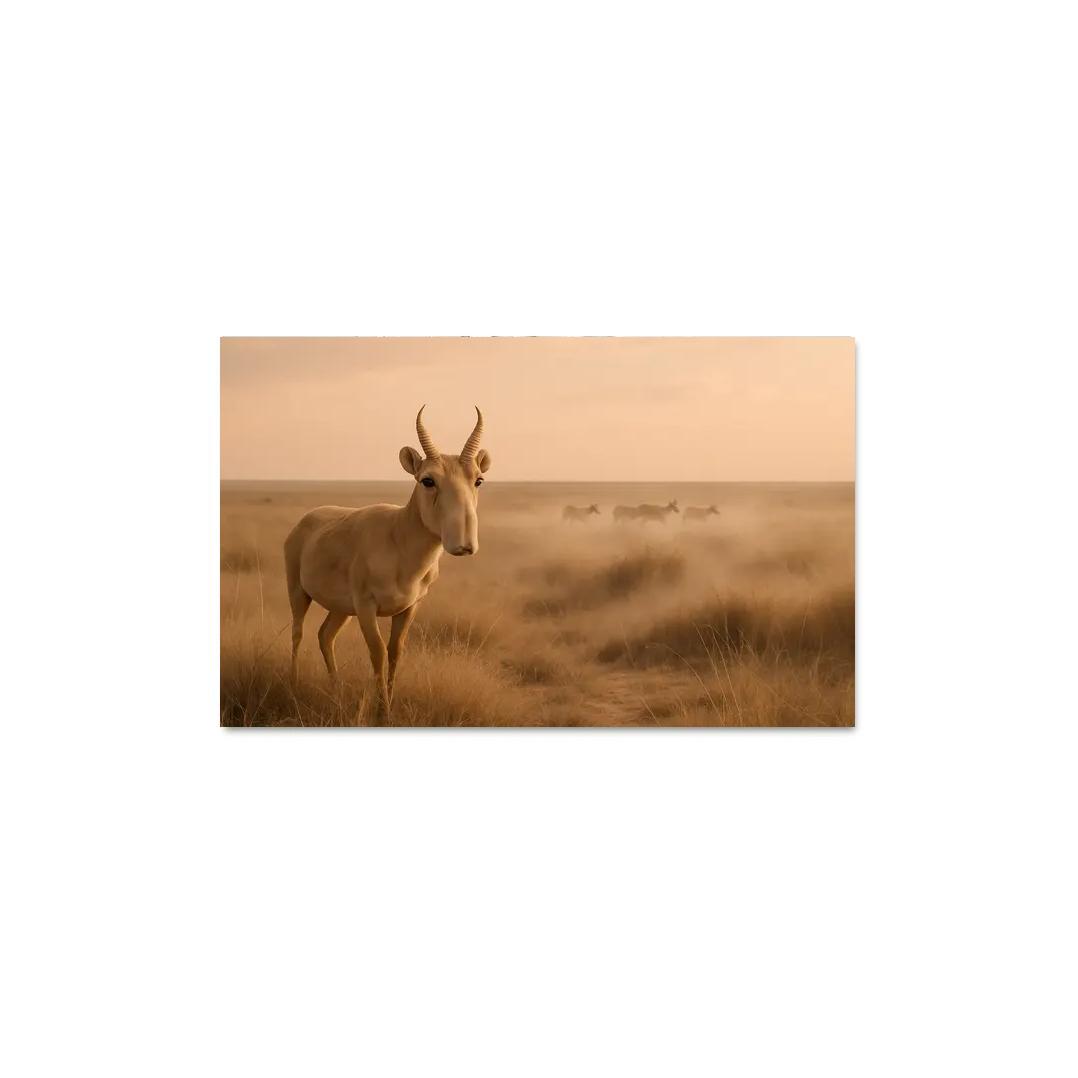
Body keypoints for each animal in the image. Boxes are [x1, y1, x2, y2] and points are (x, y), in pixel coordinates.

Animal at [283, 406, 491, 722]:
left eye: (478, 479)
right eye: (427, 480)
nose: (464, 543)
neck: (398, 539)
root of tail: (305, 521)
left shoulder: (409, 608)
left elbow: (395, 652)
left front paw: (387, 709)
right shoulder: (366, 607)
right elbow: (378, 652)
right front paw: (380, 714)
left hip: (342, 609)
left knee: (325, 635)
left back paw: (335, 690)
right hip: (299, 592)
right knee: (298, 632)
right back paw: (294, 685)